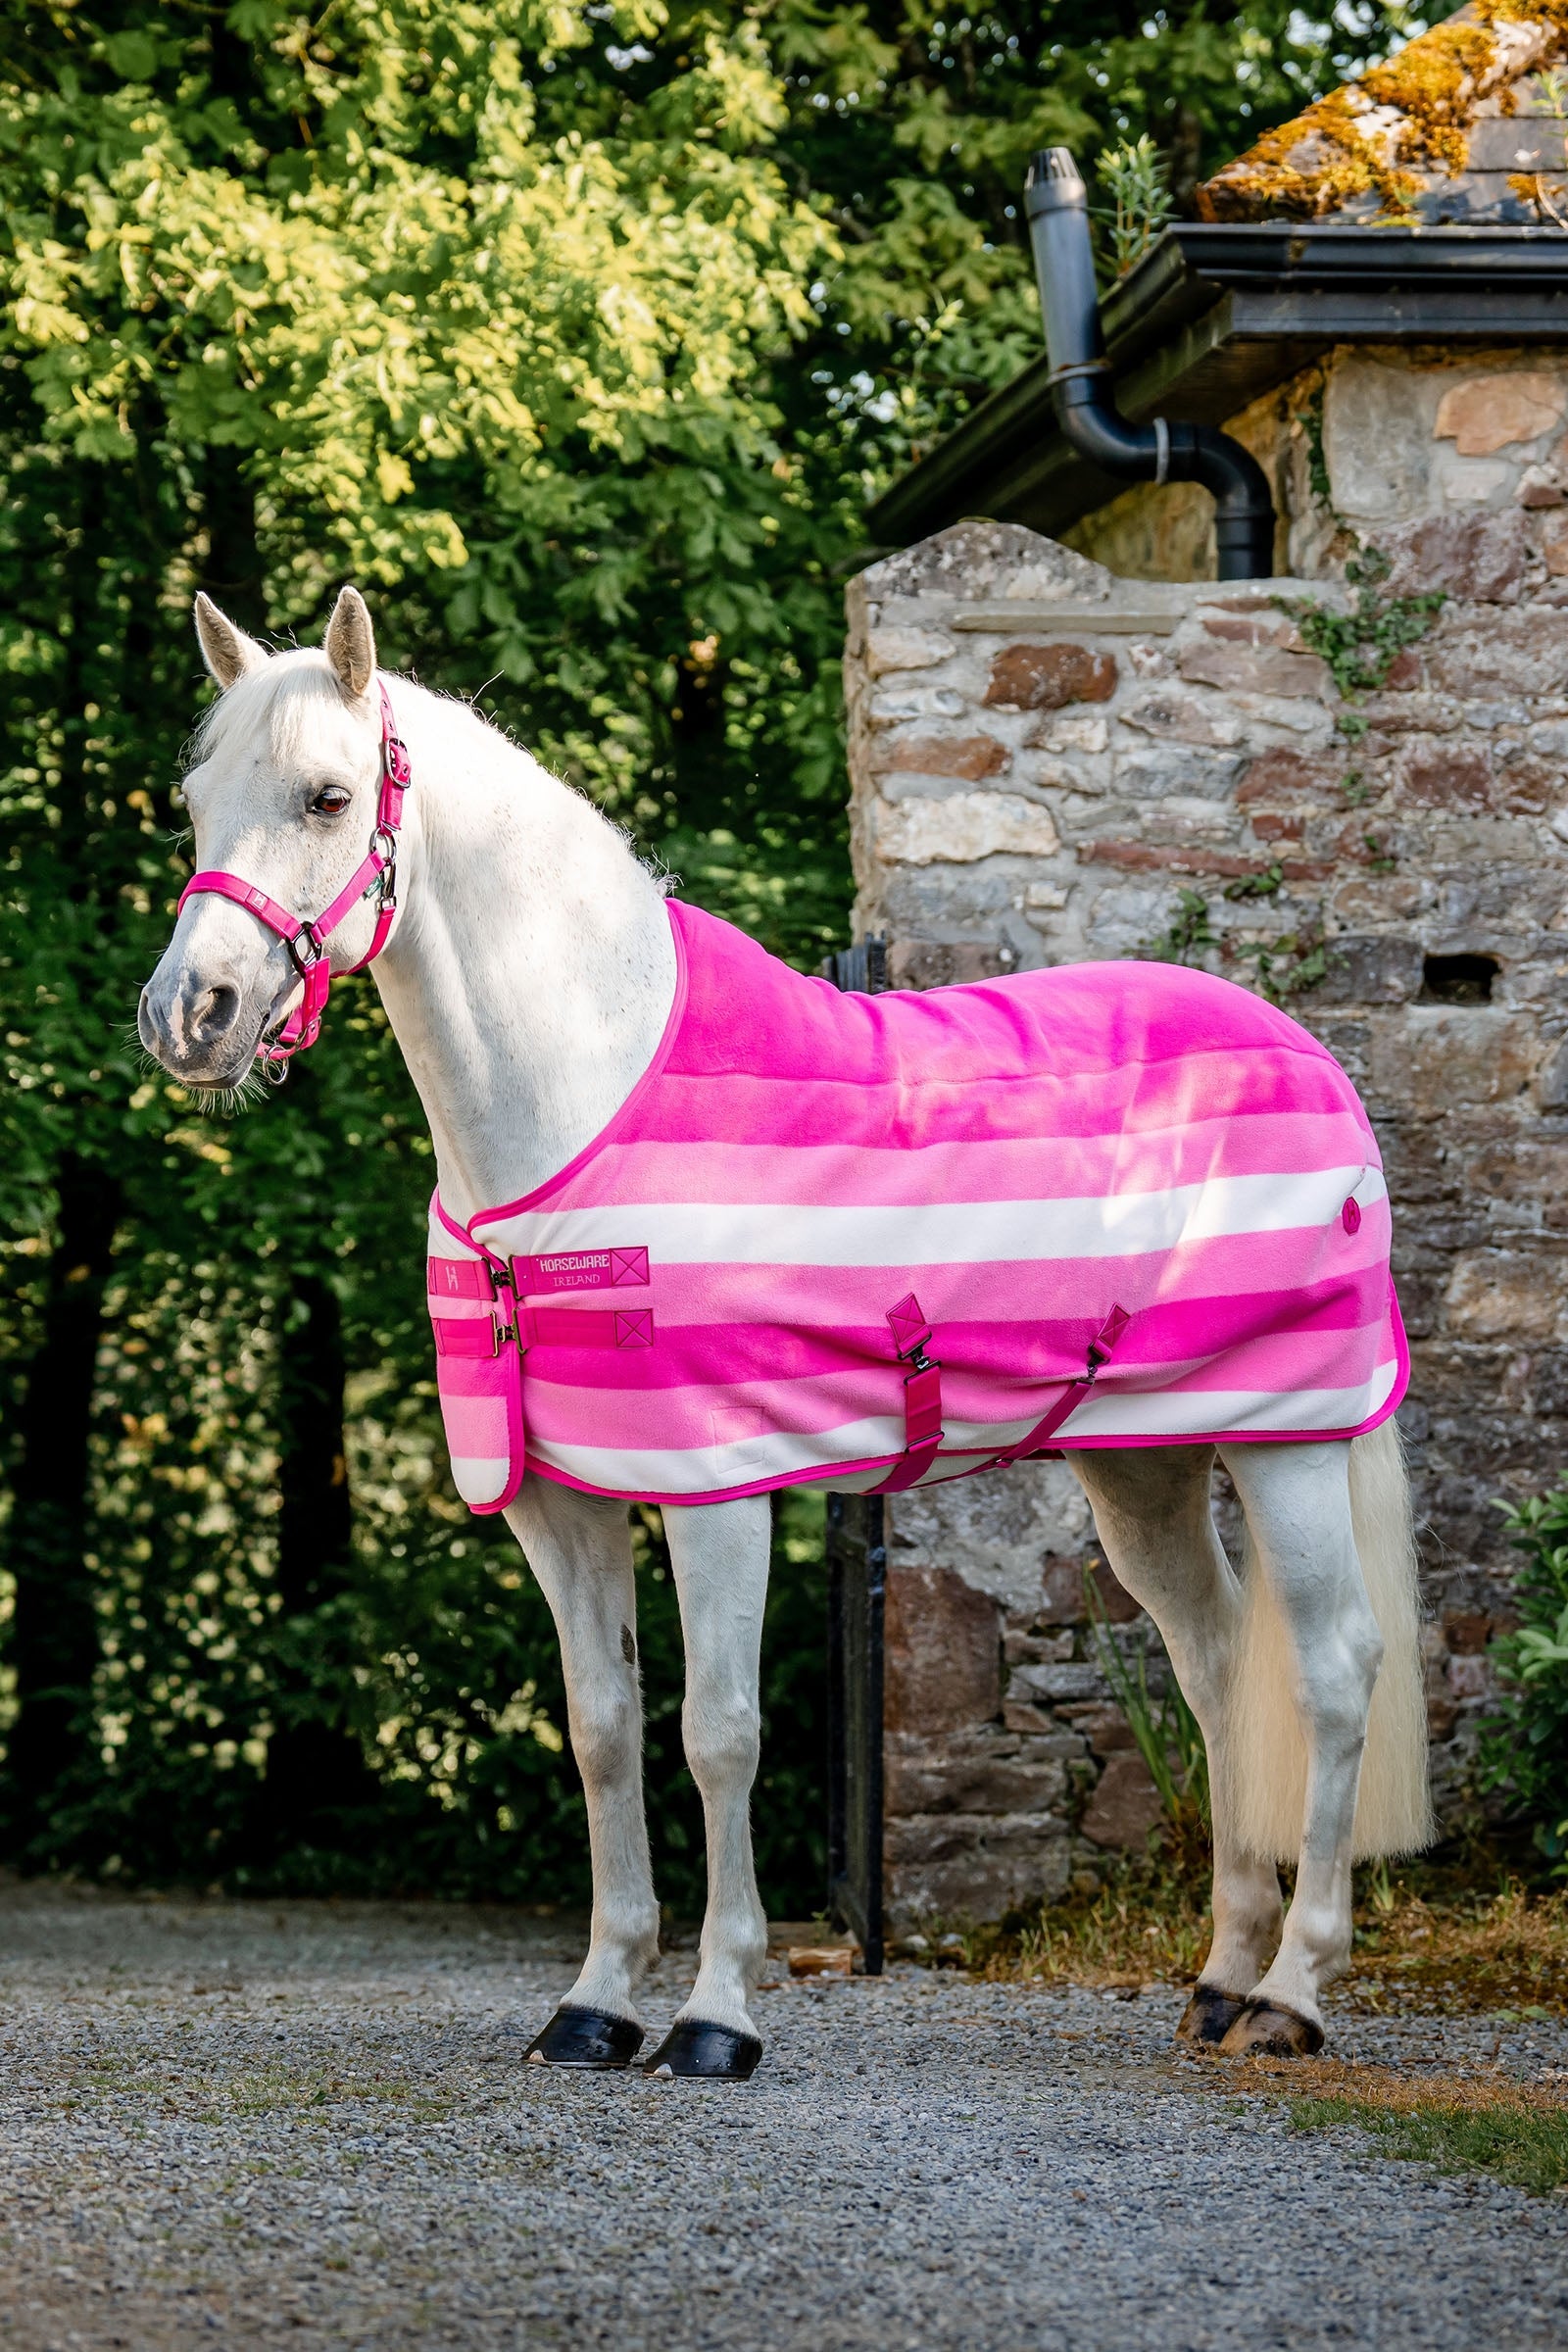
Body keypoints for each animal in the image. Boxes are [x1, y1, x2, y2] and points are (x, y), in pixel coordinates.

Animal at [138, 585, 1433, 2079]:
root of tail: (1307, 1054)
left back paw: (1291, 1994)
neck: (580, 1105)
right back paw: (1219, 1978)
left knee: (1331, 1672)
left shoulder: (718, 1490)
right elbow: (601, 1730)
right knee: (1216, 1662)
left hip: (1289, 1439)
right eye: (195, 801)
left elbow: (720, 1735)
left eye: (328, 796)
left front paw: (716, 2015)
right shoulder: (560, 1503)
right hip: (1145, 1462)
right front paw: (594, 2003)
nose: (186, 1016)